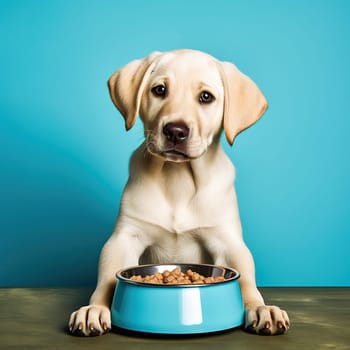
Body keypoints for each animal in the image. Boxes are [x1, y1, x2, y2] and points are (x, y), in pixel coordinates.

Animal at [68, 49, 290, 336]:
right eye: (159, 90)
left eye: (206, 97)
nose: (175, 131)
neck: (179, 178)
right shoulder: (125, 237)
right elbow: (107, 277)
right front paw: (94, 308)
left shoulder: (228, 241)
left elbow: (246, 282)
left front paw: (261, 308)